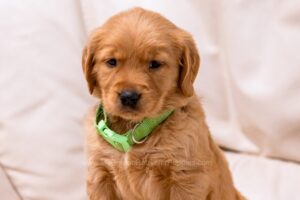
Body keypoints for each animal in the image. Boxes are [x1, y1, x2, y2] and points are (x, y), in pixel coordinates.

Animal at [81, 7, 244, 200]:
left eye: (155, 64)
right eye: (111, 62)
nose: (129, 96)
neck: (133, 129)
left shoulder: (186, 177)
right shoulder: (100, 174)